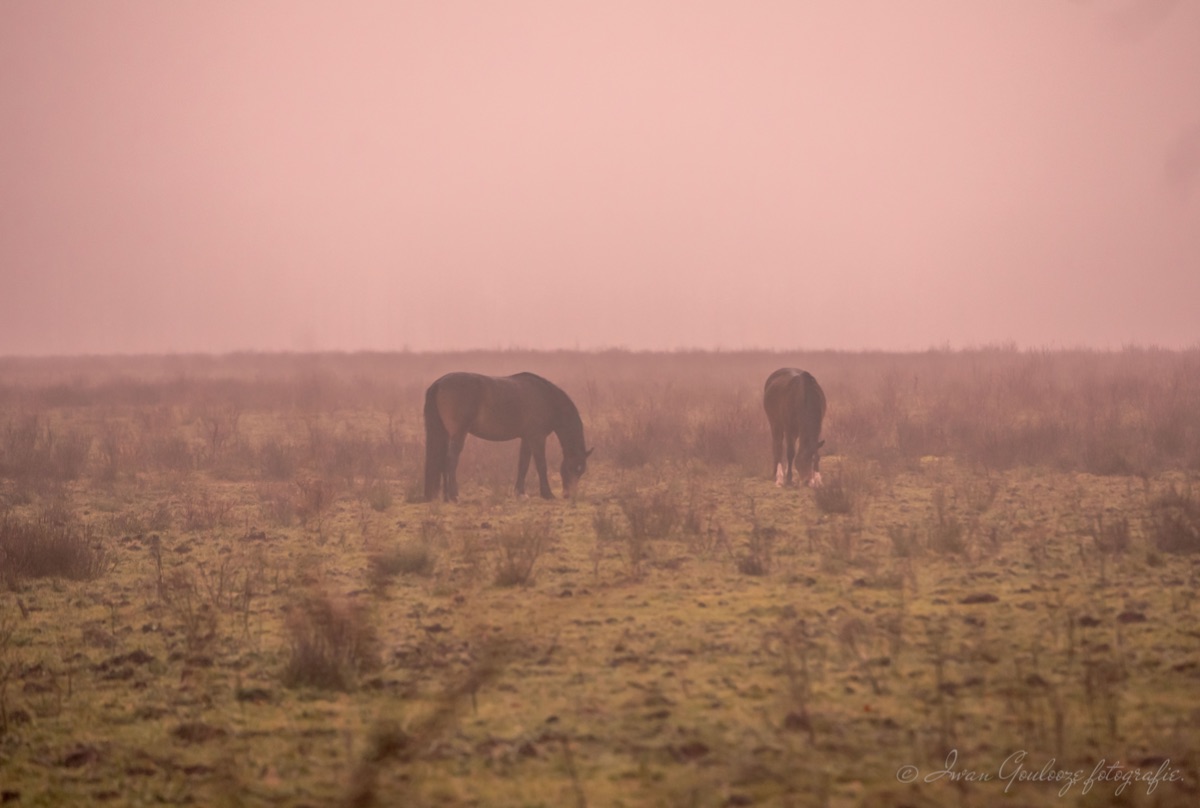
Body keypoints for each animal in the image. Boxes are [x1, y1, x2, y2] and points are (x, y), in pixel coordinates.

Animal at [423, 372, 592, 502]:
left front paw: (520, 493)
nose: (568, 495)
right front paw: (547, 494)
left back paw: (446, 497)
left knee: (443, 461)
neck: (547, 398)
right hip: (458, 434)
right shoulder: (537, 438)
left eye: (581, 471)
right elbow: (541, 465)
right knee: (451, 460)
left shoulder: (526, 438)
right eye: (573, 468)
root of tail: (439, 383)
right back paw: (454, 496)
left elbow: (523, 464)